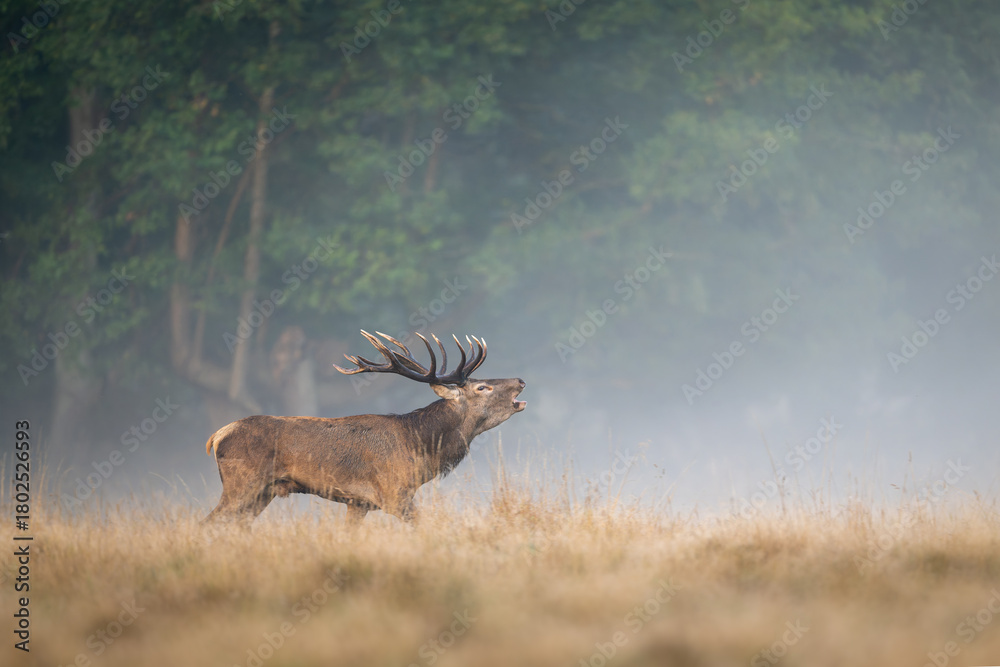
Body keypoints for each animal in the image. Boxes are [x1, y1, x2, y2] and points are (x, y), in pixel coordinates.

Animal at [203, 330, 526, 524]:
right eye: (482, 388)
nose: (520, 380)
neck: (419, 449)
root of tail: (216, 436)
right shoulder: (394, 493)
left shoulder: (357, 503)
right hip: (242, 484)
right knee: (210, 521)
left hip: (262, 493)